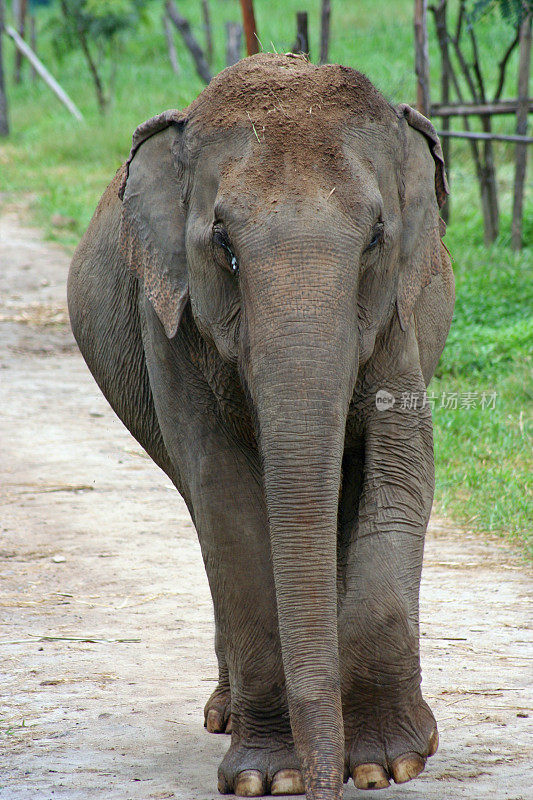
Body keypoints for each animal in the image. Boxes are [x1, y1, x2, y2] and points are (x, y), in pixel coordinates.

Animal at [67, 54, 454, 800]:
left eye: (375, 239)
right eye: (223, 244)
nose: (327, 781)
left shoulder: (398, 313)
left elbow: (401, 471)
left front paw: (385, 762)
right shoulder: (172, 320)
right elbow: (226, 503)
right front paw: (268, 777)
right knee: (205, 516)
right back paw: (224, 716)